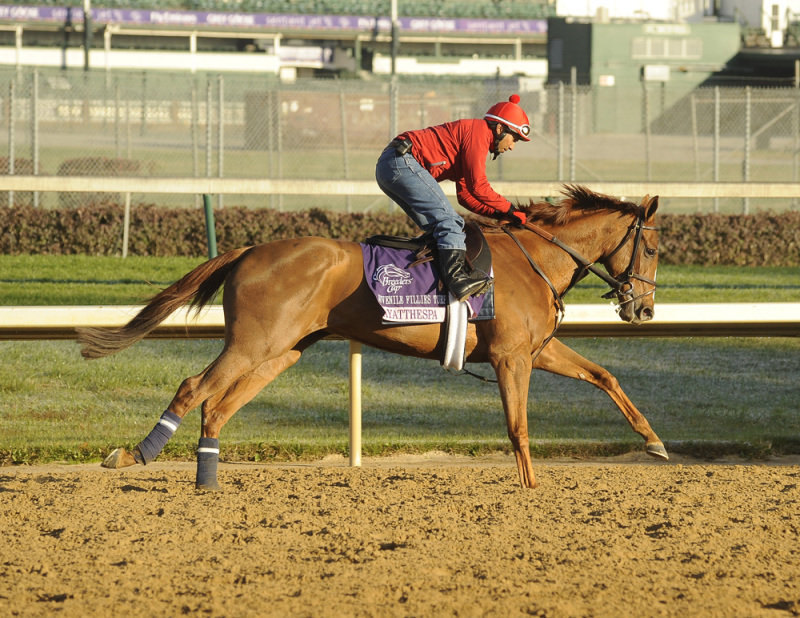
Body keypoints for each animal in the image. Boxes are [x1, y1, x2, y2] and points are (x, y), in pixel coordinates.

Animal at [79, 183, 668, 486]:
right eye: (654, 247)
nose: (643, 309)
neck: (534, 259)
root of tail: (249, 250)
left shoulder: (535, 350)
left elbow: (604, 375)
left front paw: (654, 442)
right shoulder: (510, 357)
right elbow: (518, 427)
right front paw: (529, 488)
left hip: (283, 351)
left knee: (219, 406)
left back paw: (207, 477)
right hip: (252, 343)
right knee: (193, 388)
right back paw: (134, 456)